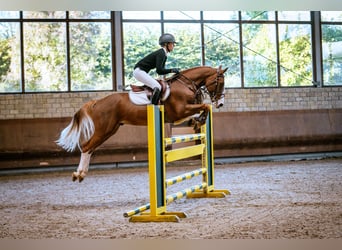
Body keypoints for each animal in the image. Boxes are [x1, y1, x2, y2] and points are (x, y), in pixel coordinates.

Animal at [56, 65, 227, 182]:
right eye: (220, 82)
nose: (220, 104)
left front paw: (198, 121)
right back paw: (78, 174)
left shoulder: (182, 114)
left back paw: (82, 173)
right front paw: (201, 119)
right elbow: (205, 106)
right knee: (86, 147)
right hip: (103, 129)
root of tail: (97, 102)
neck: (185, 85)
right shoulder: (180, 112)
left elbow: (202, 109)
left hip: (110, 130)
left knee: (90, 148)